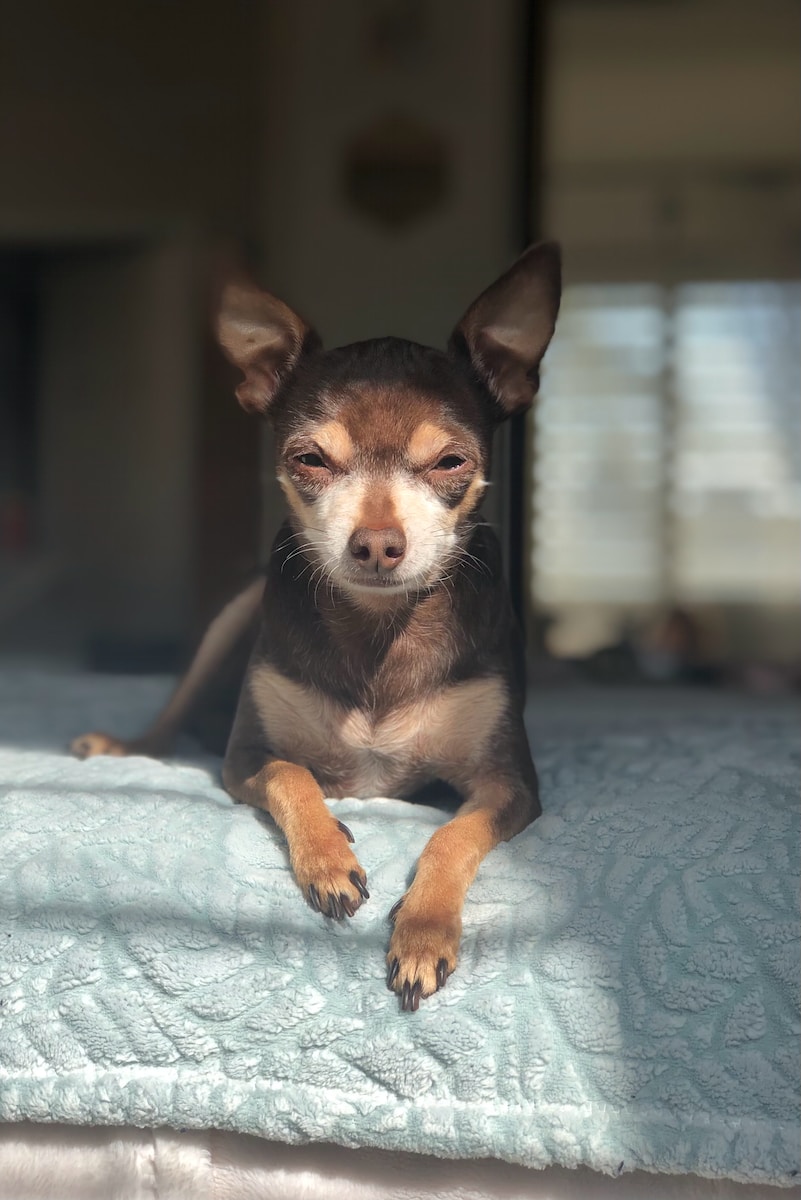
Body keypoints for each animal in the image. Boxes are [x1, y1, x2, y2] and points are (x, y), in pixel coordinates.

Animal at [71, 243, 561, 1012]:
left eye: (451, 463)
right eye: (309, 460)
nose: (377, 544)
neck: (380, 631)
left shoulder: (508, 787)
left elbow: (453, 836)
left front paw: (423, 930)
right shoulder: (244, 758)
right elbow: (293, 775)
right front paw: (329, 856)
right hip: (233, 616)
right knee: (171, 718)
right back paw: (125, 746)